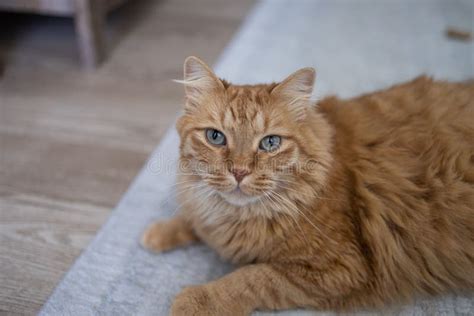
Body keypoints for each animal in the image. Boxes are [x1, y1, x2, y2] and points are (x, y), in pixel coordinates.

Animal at [141, 55, 474, 314]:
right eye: (215, 137)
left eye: (270, 143)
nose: (239, 171)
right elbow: (194, 221)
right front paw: (160, 232)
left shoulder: (339, 268)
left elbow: (251, 277)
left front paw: (197, 300)